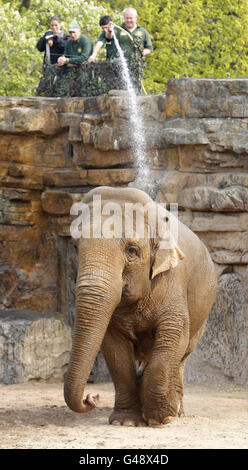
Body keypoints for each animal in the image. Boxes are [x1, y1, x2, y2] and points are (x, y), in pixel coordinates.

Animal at [64, 186, 217, 426]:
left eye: (132, 251)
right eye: (75, 245)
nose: (92, 397)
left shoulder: (172, 279)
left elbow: (174, 334)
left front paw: (159, 418)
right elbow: (115, 352)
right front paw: (126, 422)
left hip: (203, 314)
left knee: (182, 355)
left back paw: (176, 412)